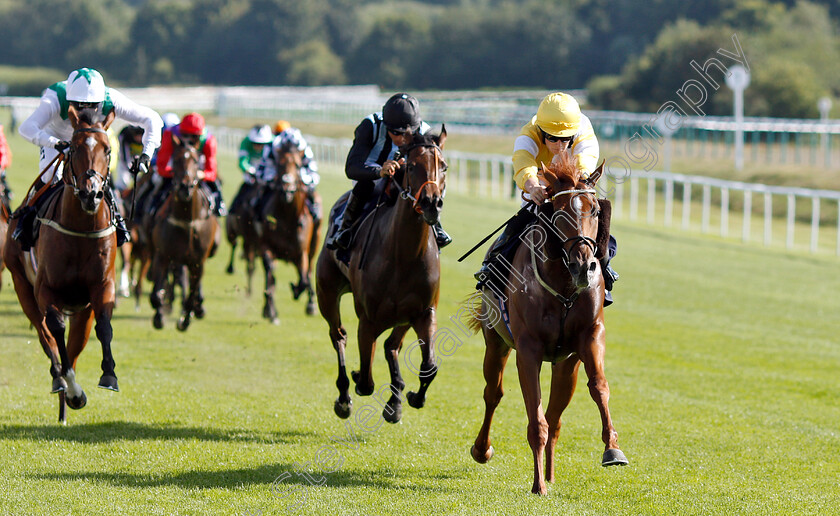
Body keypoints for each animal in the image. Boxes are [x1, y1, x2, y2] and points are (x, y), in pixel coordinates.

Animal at [2, 106, 120, 424]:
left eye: (107, 149)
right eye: (75, 148)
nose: (91, 193)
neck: (80, 230)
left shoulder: (101, 287)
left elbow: (104, 326)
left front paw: (109, 374)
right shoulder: (46, 290)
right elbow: (55, 329)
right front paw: (73, 389)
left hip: (81, 309)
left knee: (76, 345)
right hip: (22, 285)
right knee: (46, 336)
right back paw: (62, 384)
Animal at [149, 136, 218, 330]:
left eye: (196, 160)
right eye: (176, 159)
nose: (185, 187)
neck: (187, 220)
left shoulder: (198, 262)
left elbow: (191, 296)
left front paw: (185, 320)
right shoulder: (163, 255)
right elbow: (156, 294)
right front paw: (158, 317)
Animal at [316, 126, 446, 424]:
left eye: (443, 166)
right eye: (412, 165)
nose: (432, 203)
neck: (403, 256)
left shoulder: (424, 312)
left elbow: (429, 365)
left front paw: (411, 397)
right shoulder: (368, 319)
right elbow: (365, 380)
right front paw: (356, 382)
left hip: (404, 317)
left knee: (391, 345)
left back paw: (395, 397)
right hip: (326, 291)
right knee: (338, 335)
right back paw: (344, 396)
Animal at [470, 153, 628, 496]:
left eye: (595, 210)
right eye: (559, 211)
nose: (584, 265)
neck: (564, 286)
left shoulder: (589, 337)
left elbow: (599, 386)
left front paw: (612, 448)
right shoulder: (527, 349)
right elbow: (535, 419)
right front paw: (538, 484)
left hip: (566, 363)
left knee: (556, 415)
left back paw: (553, 472)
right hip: (496, 342)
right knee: (493, 393)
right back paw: (482, 449)